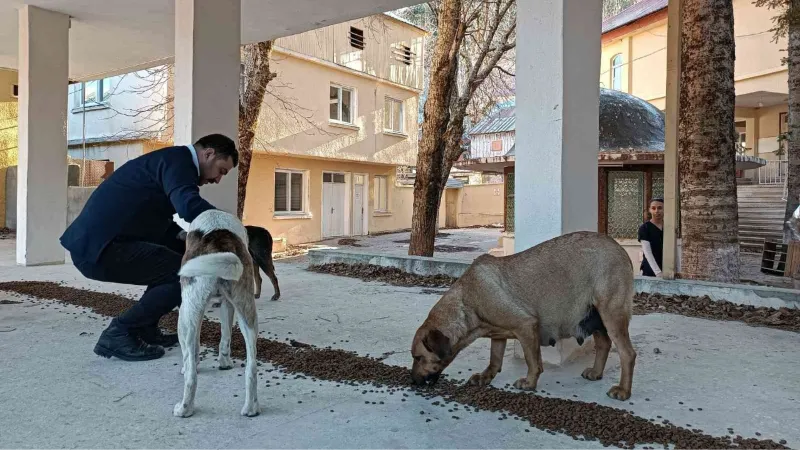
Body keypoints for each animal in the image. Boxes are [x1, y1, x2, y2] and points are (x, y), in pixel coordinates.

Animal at [172, 209, 260, 416]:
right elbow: (225, 337)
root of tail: (219, 245)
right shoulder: (227, 305)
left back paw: (184, 409)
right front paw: (224, 362)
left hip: (186, 314)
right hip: (247, 312)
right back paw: (251, 407)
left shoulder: (193, 313)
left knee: (191, 375)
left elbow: (193, 352)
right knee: (251, 368)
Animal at [412, 232, 636, 400]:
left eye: (418, 357)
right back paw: (596, 373)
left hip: (611, 314)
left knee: (627, 353)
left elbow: (532, 361)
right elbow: (495, 360)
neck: (467, 300)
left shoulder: (526, 326)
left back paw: (623, 391)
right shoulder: (498, 334)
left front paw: (529, 382)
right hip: (595, 317)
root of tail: (621, 249)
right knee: (604, 344)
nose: (412, 381)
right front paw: (486, 377)